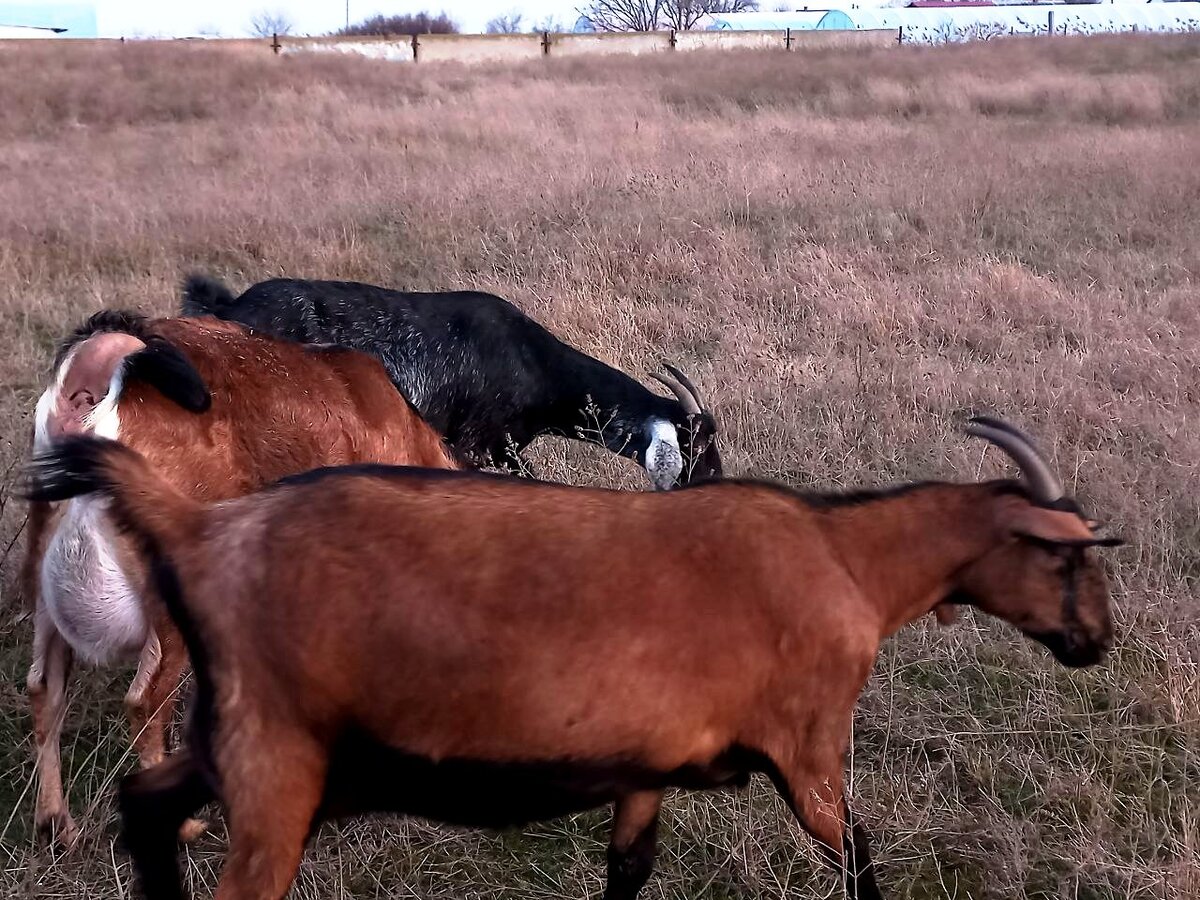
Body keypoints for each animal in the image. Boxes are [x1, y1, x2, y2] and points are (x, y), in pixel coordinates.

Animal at [23, 422, 1118, 900]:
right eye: (1066, 555)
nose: (1095, 642)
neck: (845, 555)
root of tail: (200, 527)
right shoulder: (808, 751)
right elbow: (859, 858)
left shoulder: (647, 766)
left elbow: (628, 871)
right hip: (278, 768)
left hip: (240, 746)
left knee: (145, 803)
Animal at [180, 277, 720, 494]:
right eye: (695, 445)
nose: (715, 481)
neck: (534, 364)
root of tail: (226, 307)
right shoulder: (476, 445)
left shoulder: (500, 449)